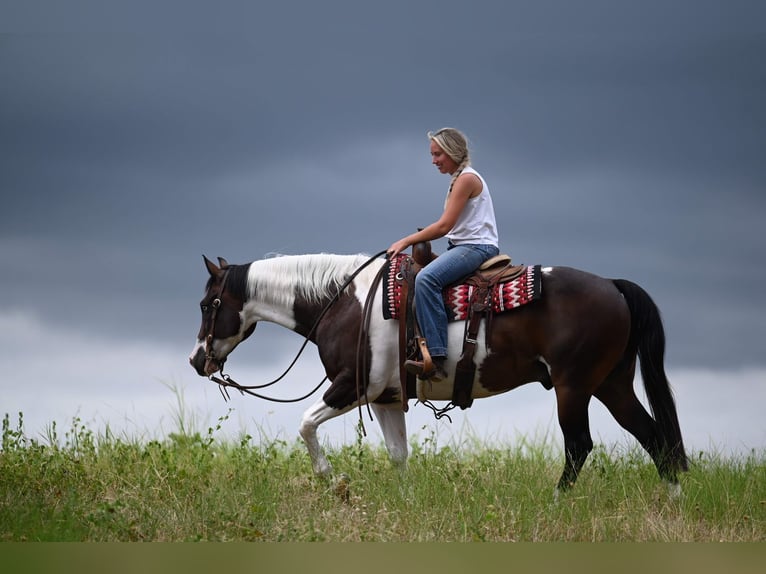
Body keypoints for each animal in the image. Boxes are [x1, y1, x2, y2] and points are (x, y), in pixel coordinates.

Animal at [189, 252, 688, 494]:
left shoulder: (351, 386)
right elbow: (398, 455)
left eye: (208, 304)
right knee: (655, 439)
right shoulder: (386, 397)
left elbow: (306, 424)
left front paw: (335, 483)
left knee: (580, 446)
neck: (346, 301)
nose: (197, 360)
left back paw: (556, 502)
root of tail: (614, 287)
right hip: (612, 384)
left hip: (574, 387)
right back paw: (674, 503)